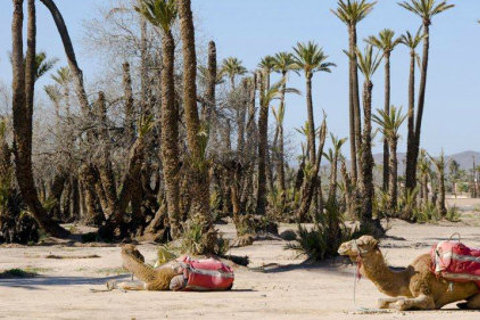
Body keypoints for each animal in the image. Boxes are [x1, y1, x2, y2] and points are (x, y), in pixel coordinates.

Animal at [338, 235, 480, 310]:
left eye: (361, 244)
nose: (341, 246)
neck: (406, 277)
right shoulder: (409, 293)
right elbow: (381, 301)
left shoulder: (425, 293)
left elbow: (402, 303)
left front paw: (397, 305)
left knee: (473, 303)